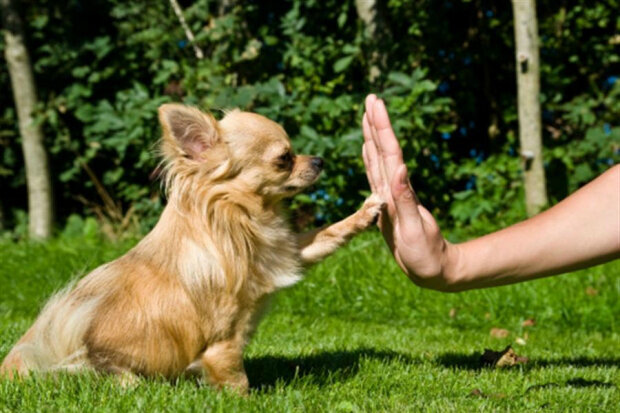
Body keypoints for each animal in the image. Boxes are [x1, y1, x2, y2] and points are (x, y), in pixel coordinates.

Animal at [1, 103, 382, 390]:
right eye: (284, 158)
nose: (319, 160)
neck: (240, 220)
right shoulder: (224, 339)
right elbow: (234, 376)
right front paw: (244, 402)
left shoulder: (284, 254)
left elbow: (327, 235)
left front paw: (366, 212)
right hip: (110, 373)